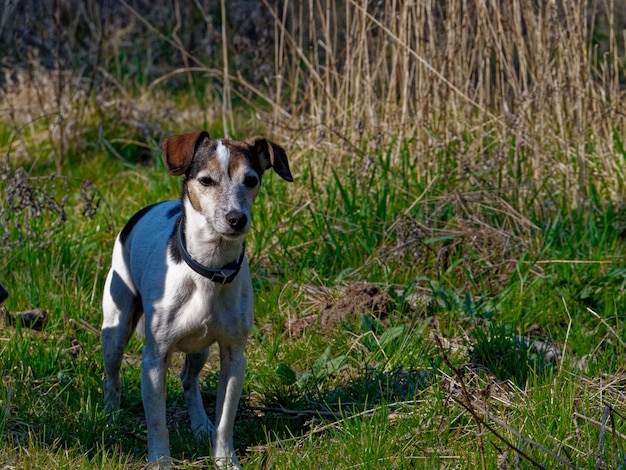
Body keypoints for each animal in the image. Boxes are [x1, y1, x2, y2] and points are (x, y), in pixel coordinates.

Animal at [102, 131, 292, 466]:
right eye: (205, 180)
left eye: (251, 180)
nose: (236, 218)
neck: (210, 268)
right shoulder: (154, 359)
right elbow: (156, 422)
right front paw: (160, 461)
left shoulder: (234, 356)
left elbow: (225, 419)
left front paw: (225, 459)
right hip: (115, 329)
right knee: (112, 378)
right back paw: (111, 418)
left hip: (200, 348)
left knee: (189, 380)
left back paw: (200, 423)